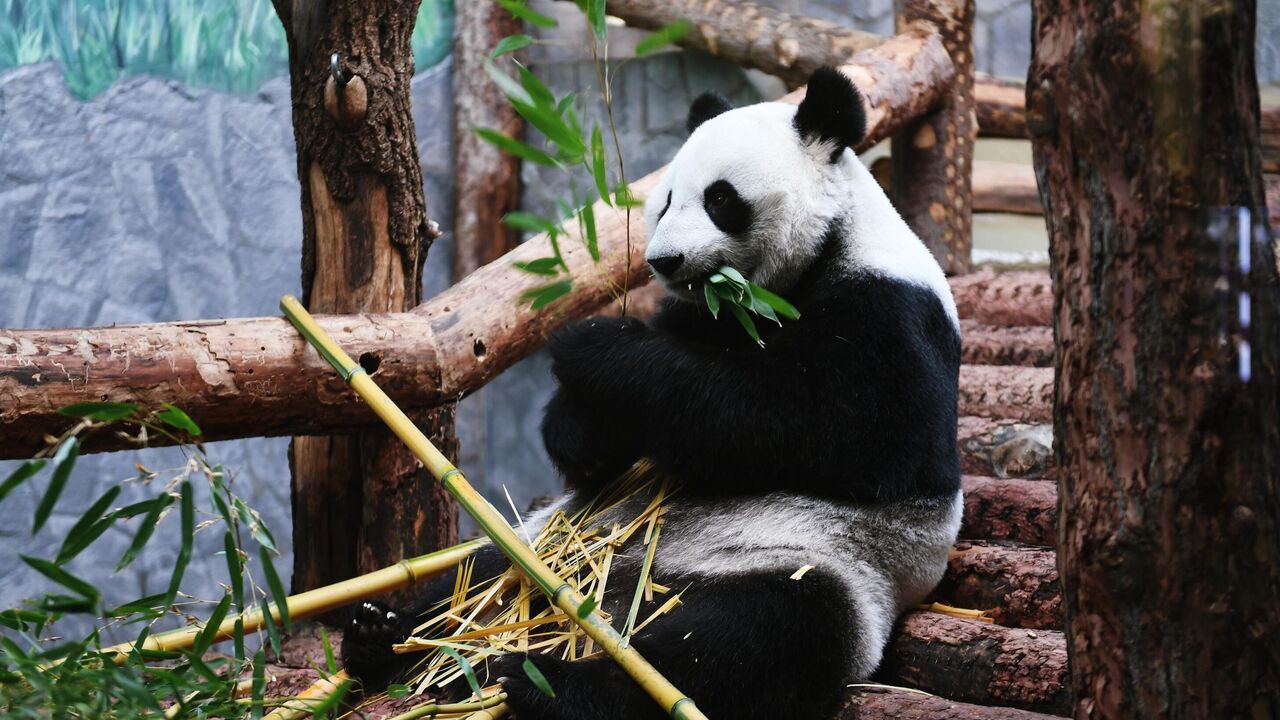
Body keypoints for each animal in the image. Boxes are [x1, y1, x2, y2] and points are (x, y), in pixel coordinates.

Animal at [340, 67, 962, 717]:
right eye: (663, 200)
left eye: (721, 199)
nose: (664, 260)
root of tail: (614, 596)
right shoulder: (701, 316)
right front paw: (582, 425)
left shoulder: (889, 316)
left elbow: (826, 429)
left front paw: (594, 345)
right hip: (549, 542)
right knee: (476, 575)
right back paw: (382, 633)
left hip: (814, 566)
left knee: (749, 639)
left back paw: (551, 684)